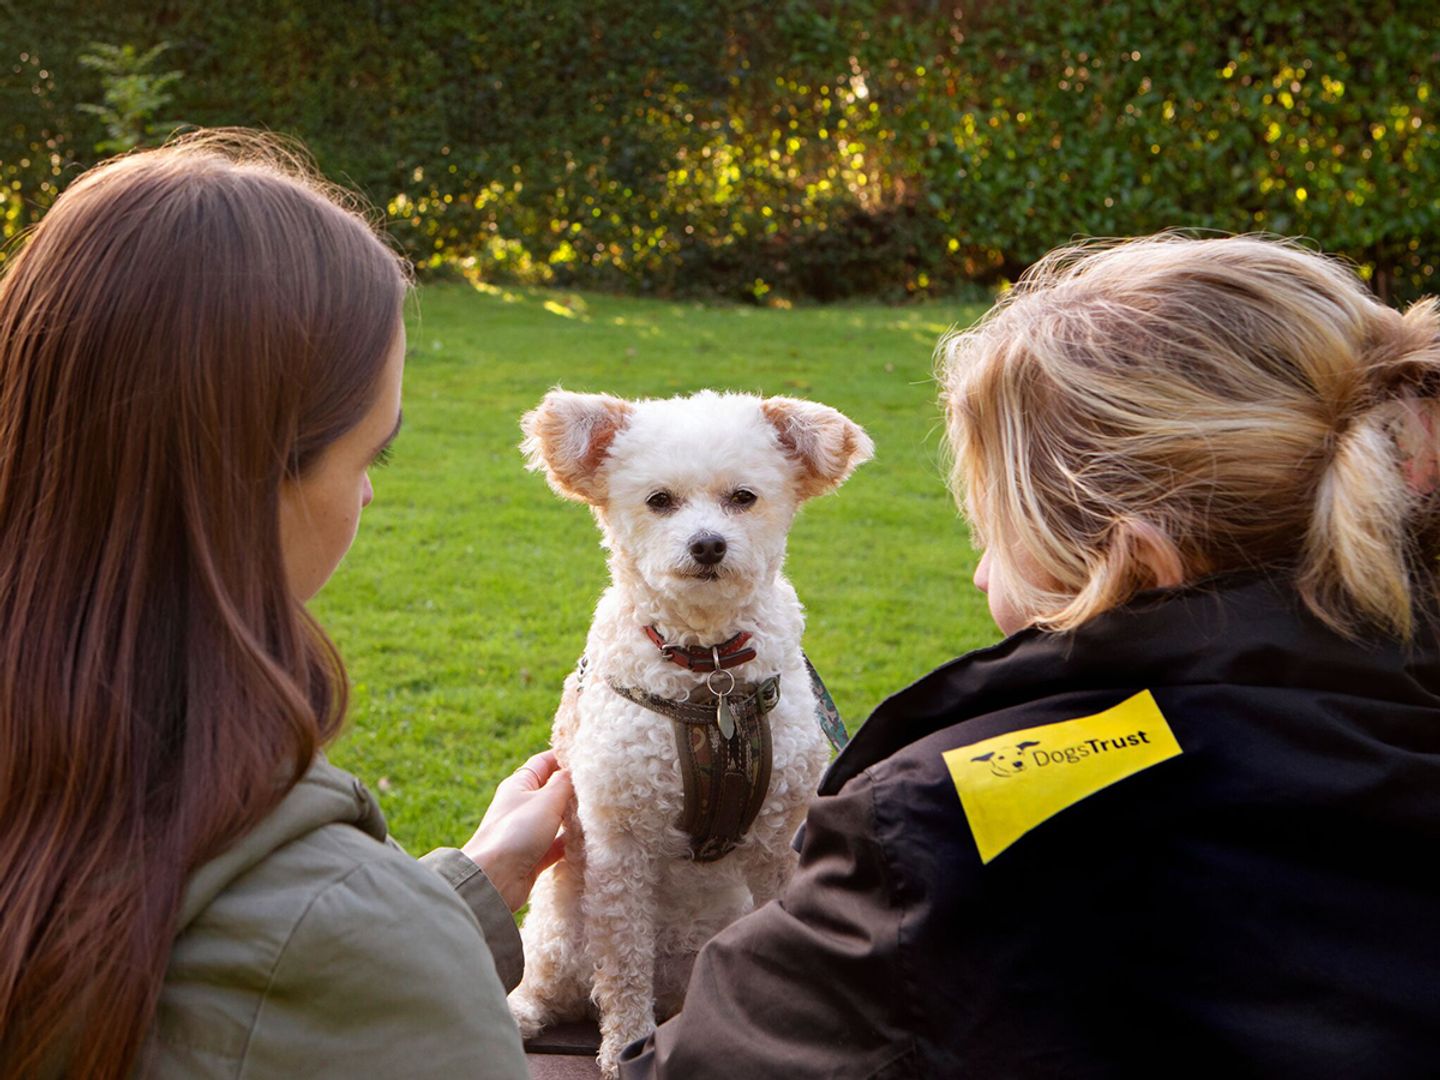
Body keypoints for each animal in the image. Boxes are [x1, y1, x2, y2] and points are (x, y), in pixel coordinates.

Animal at [512, 385, 869, 1077]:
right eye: (659, 500)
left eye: (743, 497)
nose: (708, 545)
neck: (710, 673)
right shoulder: (618, 846)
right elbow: (623, 967)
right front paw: (625, 1049)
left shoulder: (781, 840)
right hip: (558, 930)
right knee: (550, 982)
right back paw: (522, 1013)